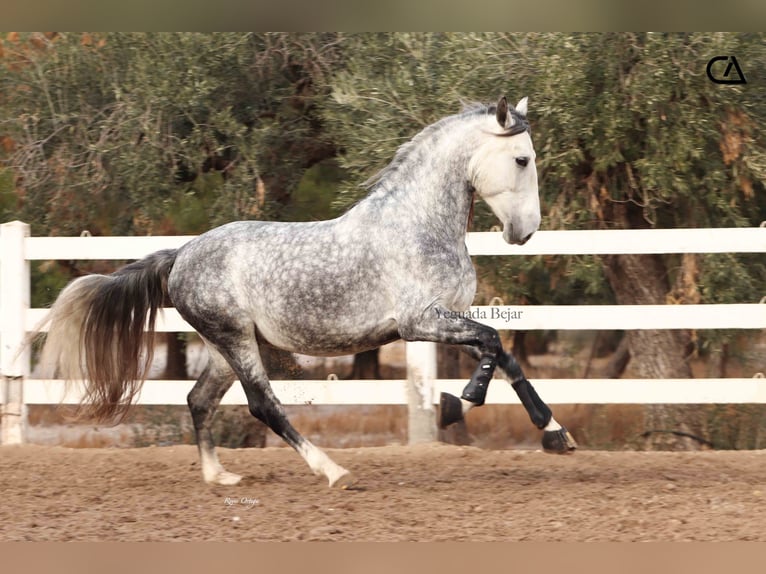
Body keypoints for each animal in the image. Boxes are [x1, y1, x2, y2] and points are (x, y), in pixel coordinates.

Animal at [37, 98, 576, 490]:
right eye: (522, 159)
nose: (525, 232)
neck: (417, 225)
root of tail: (181, 255)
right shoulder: (419, 322)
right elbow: (492, 344)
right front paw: (459, 402)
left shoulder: (444, 319)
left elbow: (504, 356)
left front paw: (554, 434)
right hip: (235, 340)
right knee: (263, 405)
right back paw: (332, 471)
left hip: (224, 346)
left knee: (198, 400)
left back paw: (220, 477)